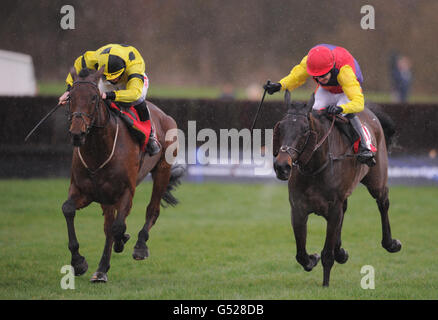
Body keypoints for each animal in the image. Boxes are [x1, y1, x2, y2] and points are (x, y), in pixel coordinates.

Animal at [62, 65, 184, 282]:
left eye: (94, 97)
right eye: (70, 97)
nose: (77, 133)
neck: (98, 151)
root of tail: (165, 116)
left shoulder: (126, 190)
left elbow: (118, 227)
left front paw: (124, 240)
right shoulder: (84, 190)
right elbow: (68, 209)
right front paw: (78, 262)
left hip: (162, 170)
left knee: (152, 210)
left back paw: (140, 245)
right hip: (106, 196)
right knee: (108, 225)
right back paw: (101, 269)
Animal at [272, 90, 402, 288]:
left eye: (304, 130)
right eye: (281, 128)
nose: (281, 166)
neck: (316, 167)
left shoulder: (333, 209)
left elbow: (327, 254)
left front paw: (325, 284)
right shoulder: (298, 209)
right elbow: (300, 253)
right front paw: (312, 259)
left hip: (376, 179)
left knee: (383, 202)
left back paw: (390, 243)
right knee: (346, 209)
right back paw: (340, 251)